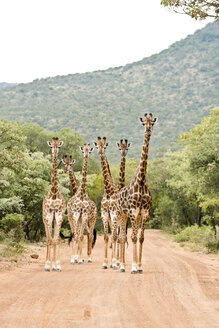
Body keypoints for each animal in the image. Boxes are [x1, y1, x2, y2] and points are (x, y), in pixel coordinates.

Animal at [117, 114, 157, 272]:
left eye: (152, 123)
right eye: (143, 123)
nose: (148, 130)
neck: (141, 181)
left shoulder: (144, 213)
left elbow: (140, 238)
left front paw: (139, 266)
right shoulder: (133, 212)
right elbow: (132, 237)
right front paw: (133, 267)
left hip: (133, 216)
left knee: (127, 236)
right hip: (121, 214)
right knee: (122, 237)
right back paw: (121, 266)